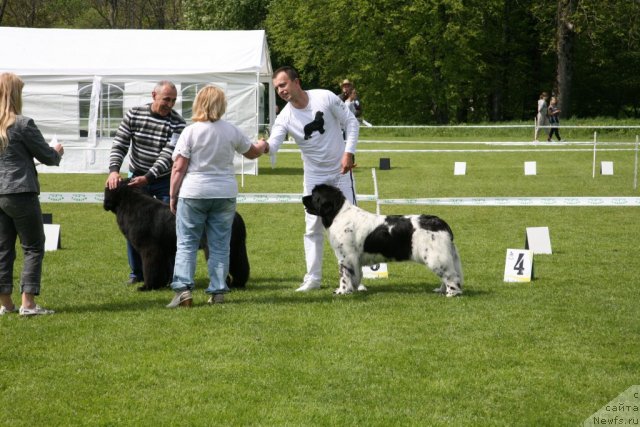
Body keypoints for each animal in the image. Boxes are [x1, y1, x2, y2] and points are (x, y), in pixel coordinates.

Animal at [103, 182, 250, 292]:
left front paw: (147, 286)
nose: (105, 204)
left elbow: (150, 268)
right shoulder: (161, 251)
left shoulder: (149, 250)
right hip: (237, 247)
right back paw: (237, 283)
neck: (128, 202)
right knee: (240, 265)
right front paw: (161, 284)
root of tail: (235, 217)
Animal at [302, 184, 462, 298]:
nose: (303, 197)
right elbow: (356, 276)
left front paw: (341, 291)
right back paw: (441, 290)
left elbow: (344, 275)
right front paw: (354, 289)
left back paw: (451, 293)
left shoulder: (345, 257)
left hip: (436, 257)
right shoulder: (354, 259)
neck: (338, 214)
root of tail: (440, 222)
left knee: (451, 276)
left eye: (314, 195)